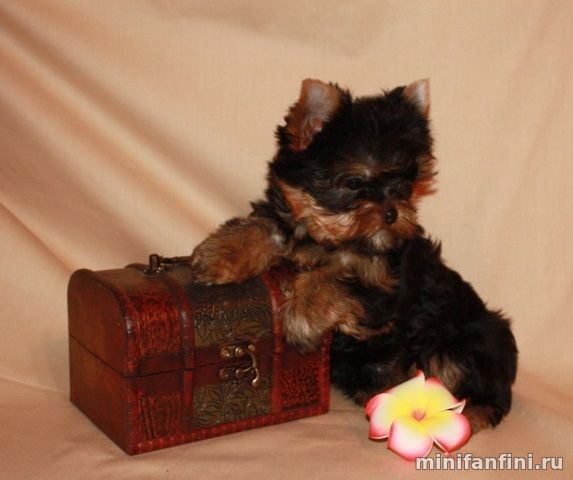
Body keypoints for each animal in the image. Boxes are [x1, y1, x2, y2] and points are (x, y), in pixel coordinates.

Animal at [189, 78, 518, 432]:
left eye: (405, 185)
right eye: (356, 181)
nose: (392, 214)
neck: (328, 239)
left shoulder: (384, 292)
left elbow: (336, 277)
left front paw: (302, 314)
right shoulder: (286, 225)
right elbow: (262, 227)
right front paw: (220, 255)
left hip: (463, 344)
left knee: (474, 387)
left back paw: (464, 415)